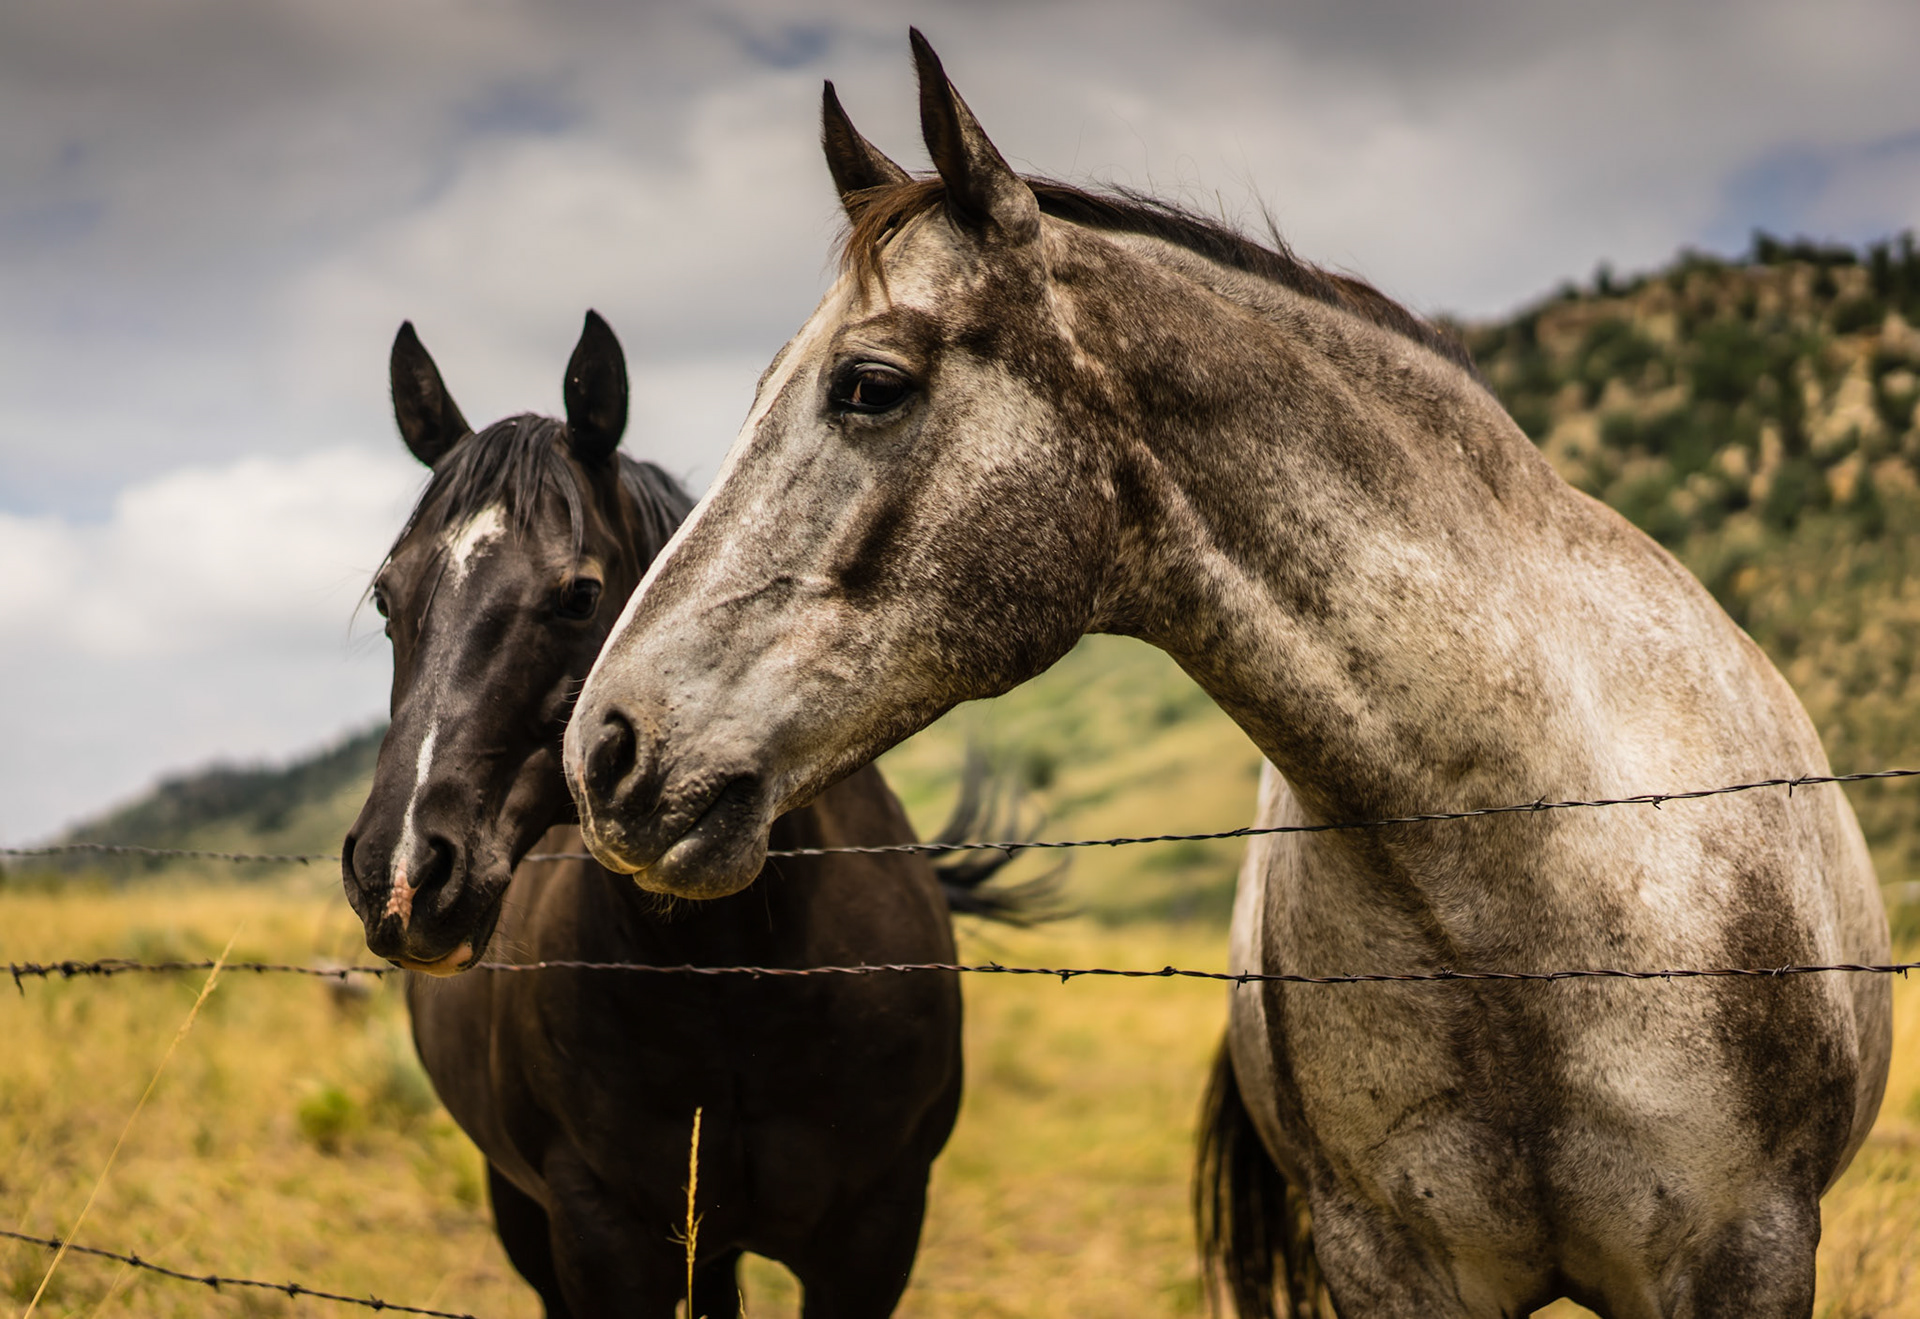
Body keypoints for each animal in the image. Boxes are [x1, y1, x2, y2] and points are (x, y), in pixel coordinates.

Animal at [341, 311, 1022, 1318]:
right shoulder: (599, 1233)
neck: (738, 972)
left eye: (581, 594)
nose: (402, 872)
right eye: (389, 596)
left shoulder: (874, 1233)